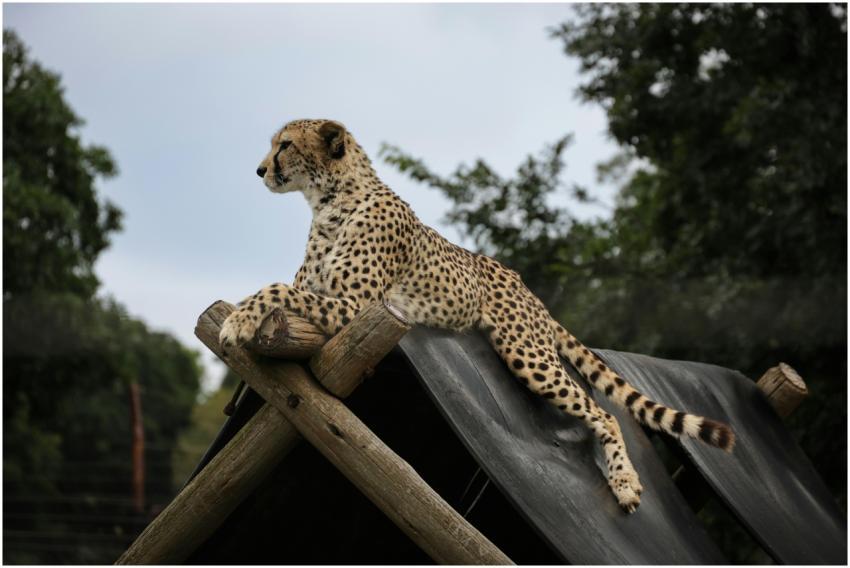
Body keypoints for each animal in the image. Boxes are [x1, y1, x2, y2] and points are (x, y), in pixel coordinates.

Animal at [219, 118, 735, 513]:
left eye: (285, 144)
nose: (260, 169)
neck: (329, 201)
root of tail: (523, 281)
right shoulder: (331, 294)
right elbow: (290, 287)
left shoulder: (359, 306)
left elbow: (278, 287)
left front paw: (238, 321)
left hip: (525, 351)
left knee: (603, 413)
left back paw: (625, 482)